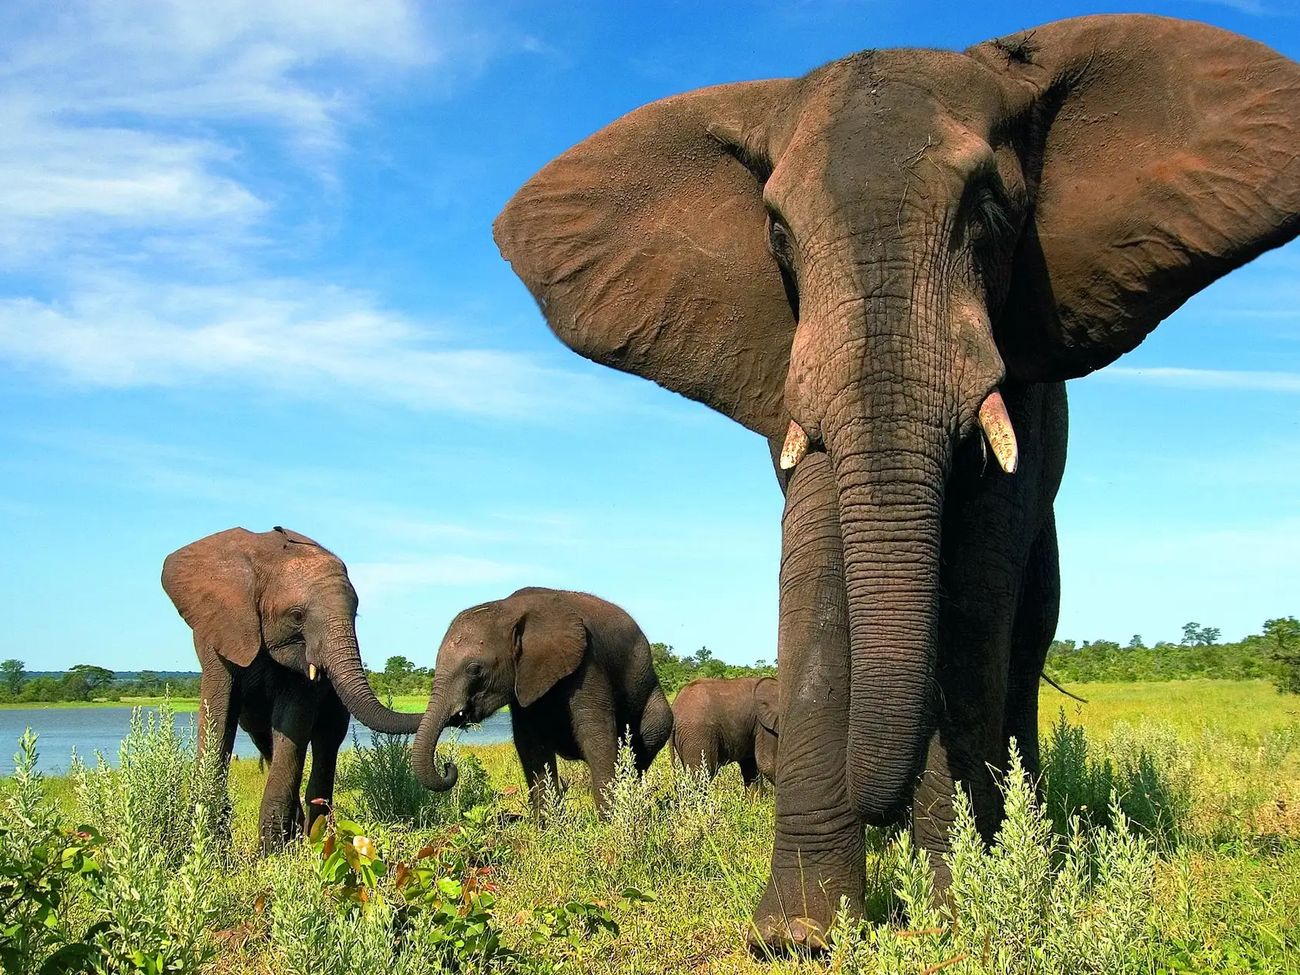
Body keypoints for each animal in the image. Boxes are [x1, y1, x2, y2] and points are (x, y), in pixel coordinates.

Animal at [162, 526, 421, 849]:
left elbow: (292, 721)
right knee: (265, 740)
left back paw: (315, 839)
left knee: (326, 740)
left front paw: (270, 852)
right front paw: (210, 845)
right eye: (297, 615)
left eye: (355, 616)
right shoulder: (218, 631)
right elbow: (218, 717)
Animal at [410, 587, 673, 816]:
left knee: (644, 746)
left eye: (474, 669)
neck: (509, 608)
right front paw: (546, 828)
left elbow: (595, 734)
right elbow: (530, 743)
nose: (448, 765)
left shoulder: (588, 661)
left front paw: (611, 823)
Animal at [493, 14, 1299, 949]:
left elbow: (971, 593)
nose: (880, 808)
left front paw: (952, 914)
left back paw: (1029, 840)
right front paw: (798, 935)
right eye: (776, 233)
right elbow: (814, 575)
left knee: (1022, 644)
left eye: (988, 208)